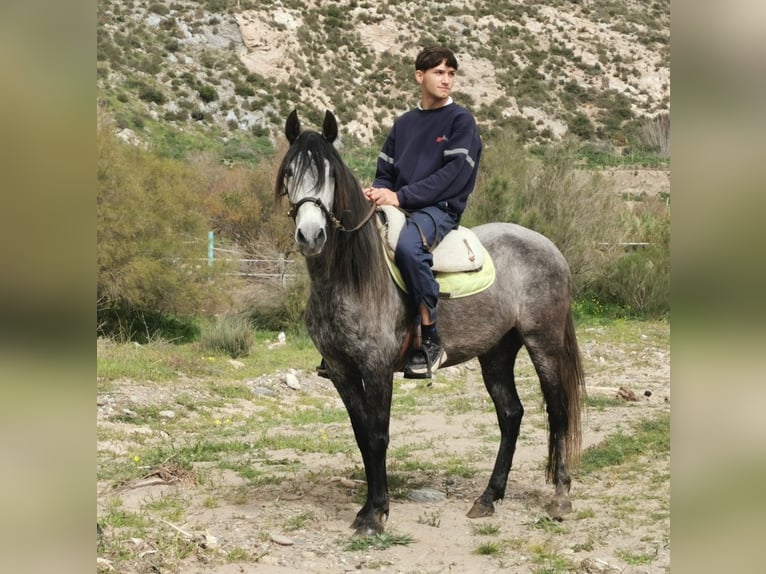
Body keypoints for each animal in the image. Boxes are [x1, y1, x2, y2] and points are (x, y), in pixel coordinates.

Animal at [275, 109, 586, 536]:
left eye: (329, 173)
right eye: (290, 172)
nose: (310, 235)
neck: (352, 277)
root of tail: (550, 248)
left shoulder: (376, 370)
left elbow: (378, 436)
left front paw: (375, 514)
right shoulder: (341, 372)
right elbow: (361, 436)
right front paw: (369, 507)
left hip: (544, 343)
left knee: (557, 411)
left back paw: (560, 497)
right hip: (497, 352)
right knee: (511, 415)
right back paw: (488, 498)